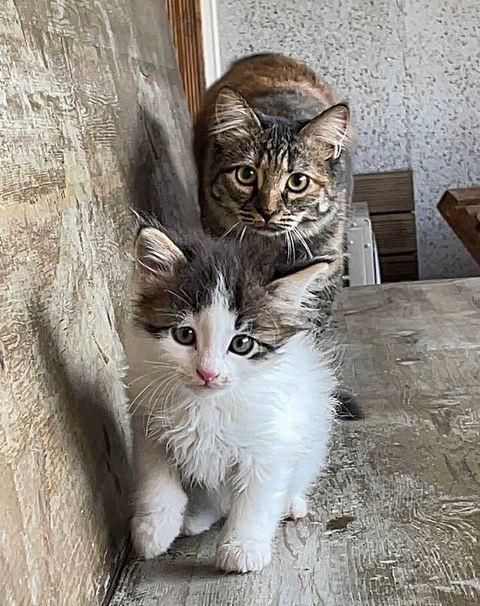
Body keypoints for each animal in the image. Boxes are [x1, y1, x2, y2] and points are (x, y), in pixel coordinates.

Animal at [125, 228, 340, 576]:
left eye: (241, 344)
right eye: (185, 335)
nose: (207, 373)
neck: (206, 405)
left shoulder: (270, 447)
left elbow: (256, 500)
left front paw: (243, 547)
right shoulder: (148, 429)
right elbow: (156, 483)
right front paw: (152, 531)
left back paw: (291, 504)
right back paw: (195, 517)